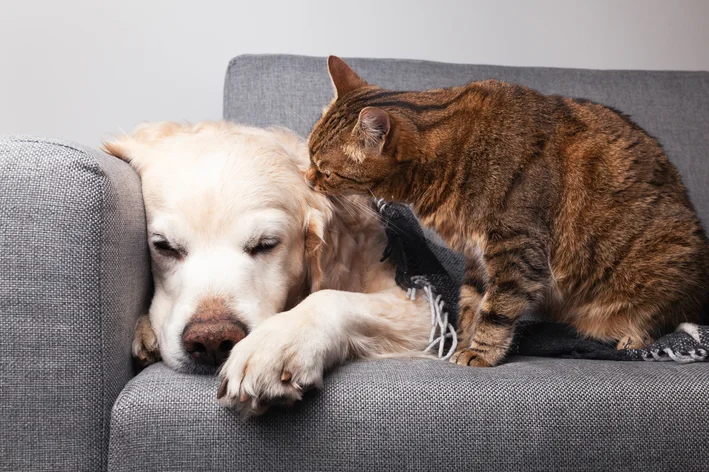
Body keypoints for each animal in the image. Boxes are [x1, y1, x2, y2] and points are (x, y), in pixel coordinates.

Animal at [101, 121, 428, 412]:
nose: (212, 341)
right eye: (163, 246)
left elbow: (331, 297)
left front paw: (279, 343)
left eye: (266, 244)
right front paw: (146, 331)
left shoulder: (423, 303)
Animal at [306, 53, 708, 366]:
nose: (307, 178)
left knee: (659, 319)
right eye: (309, 155)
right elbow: (471, 303)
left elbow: (497, 308)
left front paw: (480, 352)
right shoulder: (477, 255)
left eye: (325, 169)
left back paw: (630, 338)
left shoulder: (517, 248)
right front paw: (462, 339)